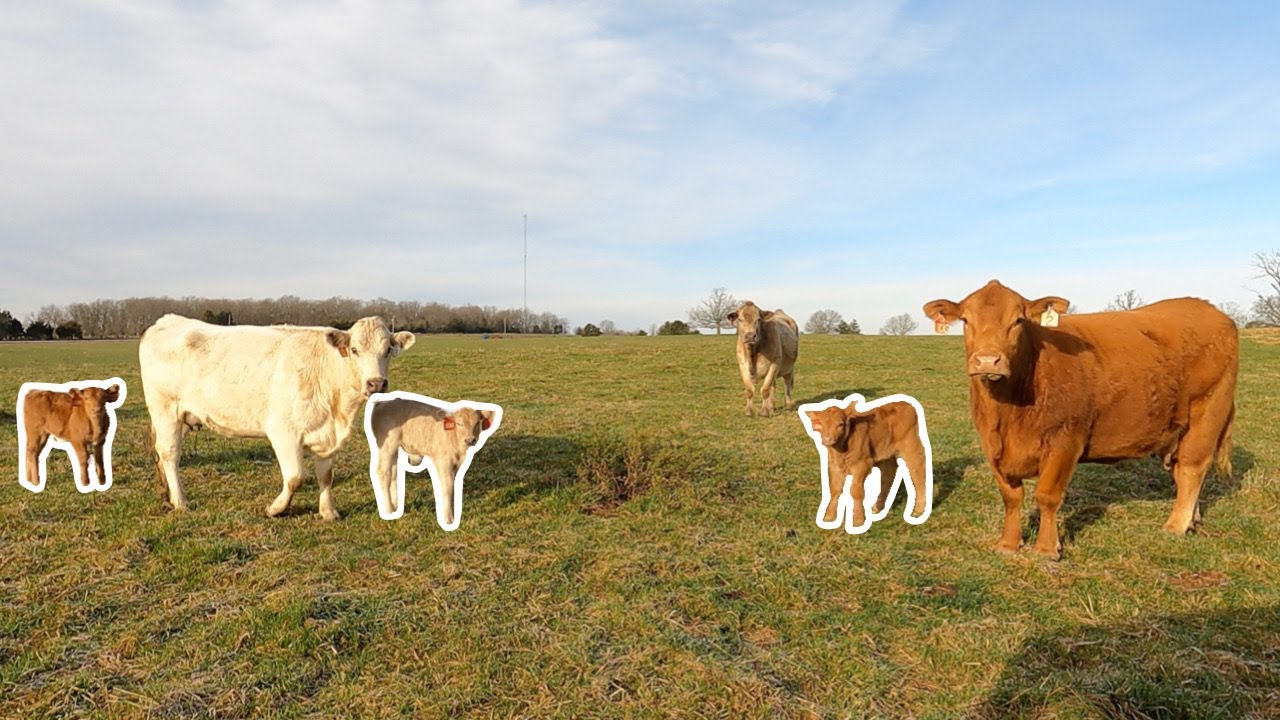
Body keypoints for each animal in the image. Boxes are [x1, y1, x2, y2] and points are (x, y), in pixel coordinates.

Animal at [138, 314, 416, 519]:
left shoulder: (327, 437)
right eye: (355, 350)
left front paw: (328, 512)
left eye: (388, 350)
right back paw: (180, 501)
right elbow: (295, 477)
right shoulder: (283, 432)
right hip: (165, 411)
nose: (376, 383)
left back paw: (167, 493)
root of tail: (168, 321)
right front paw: (276, 509)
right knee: (170, 454)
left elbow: (326, 476)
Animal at [365, 392, 501, 527]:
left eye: (477, 423)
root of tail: (383, 402)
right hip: (387, 447)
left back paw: (395, 505)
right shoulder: (444, 462)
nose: (470, 440)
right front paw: (448, 518)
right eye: (459, 423)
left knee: (393, 473)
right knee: (383, 474)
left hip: (393, 450)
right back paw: (388, 510)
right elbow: (447, 487)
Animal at [804, 395, 931, 531]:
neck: (842, 451)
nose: (828, 439)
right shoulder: (834, 466)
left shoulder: (862, 464)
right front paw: (829, 516)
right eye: (820, 424)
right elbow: (835, 489)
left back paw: (918, 510)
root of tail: (905, 404)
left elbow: (856, 491)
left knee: (918, 472)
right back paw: (877, 507)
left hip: (911, 446)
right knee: (888, 474)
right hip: (885, 452)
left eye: (840, 424)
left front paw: (858, 520)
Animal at [923, 280, 1237, 559]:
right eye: (966, 320)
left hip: (1207, 412)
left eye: (1018, 320)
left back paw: (1175, 525)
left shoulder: (1065, 441)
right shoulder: (992, 447)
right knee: (1181, 471)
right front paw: (1008, 544)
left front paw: (1047, 549)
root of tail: (1211, 311)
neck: (1007, 415)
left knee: (1193, 469)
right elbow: (1011, 497)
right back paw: (1193, 521)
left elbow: (1047, 495)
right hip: (1174, 429)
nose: (988, 360)